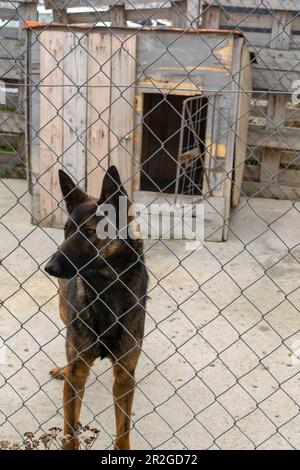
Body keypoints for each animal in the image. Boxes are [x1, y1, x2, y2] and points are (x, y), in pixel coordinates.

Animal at [44, 167, 148, 450]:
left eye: (90, 232)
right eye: (66, 231)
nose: (49, 267)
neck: (105, 291)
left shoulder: (124, 377)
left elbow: (123, 431)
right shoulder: (78, 376)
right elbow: (70, 430)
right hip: (64, 313)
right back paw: (63, 368)